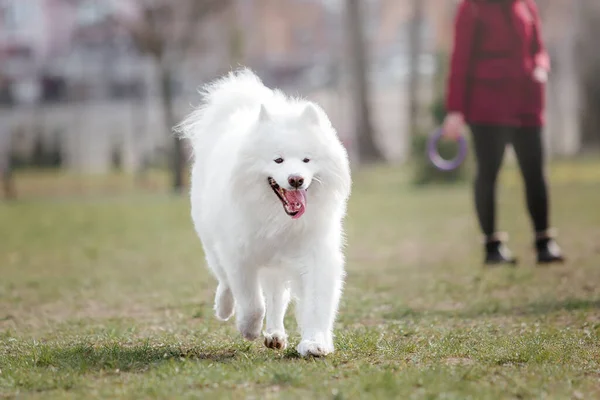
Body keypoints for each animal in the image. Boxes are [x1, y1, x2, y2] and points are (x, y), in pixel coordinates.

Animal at [175, 69, 352, 356]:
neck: (277, 218)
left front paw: (315, 343)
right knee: (224, 280)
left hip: (275, 265)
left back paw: (275, 334)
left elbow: (315, 303)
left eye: (307, 159)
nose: (295, 180)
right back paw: (224, 309)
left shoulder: (314, 254)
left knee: (277, 298)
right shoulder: (239, 256)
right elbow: (251, 301)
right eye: (278, 160)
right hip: (213, 242)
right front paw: (248, 328)